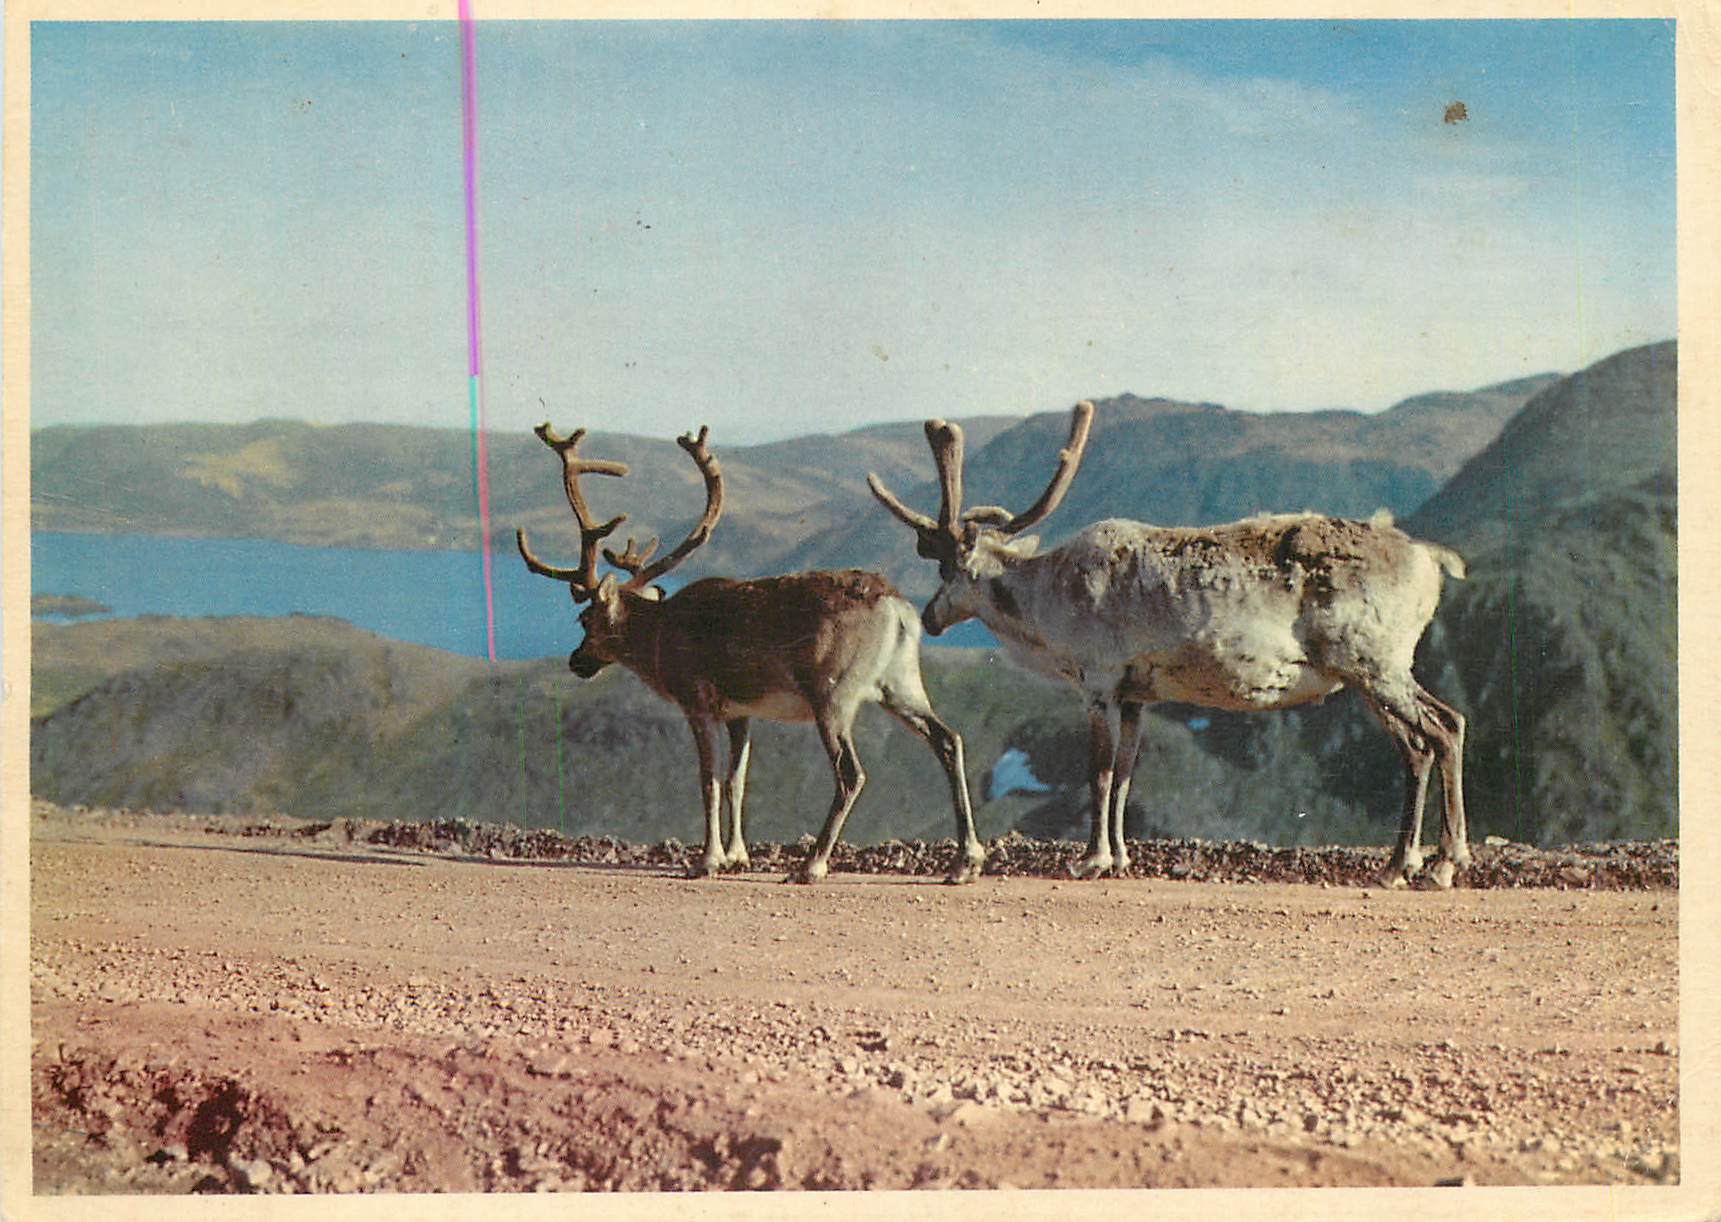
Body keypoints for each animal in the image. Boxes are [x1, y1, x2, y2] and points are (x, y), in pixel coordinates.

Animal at [516, 421, 986, 885]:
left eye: (584, 620)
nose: (576, 661)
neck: (658, 637)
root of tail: (897, 607)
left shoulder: (698, 701)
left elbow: (708, 780)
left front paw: (706, 861)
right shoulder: (740, 712)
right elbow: (736, 780)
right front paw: (737, 856)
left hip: (833, 693)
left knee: (851, 772)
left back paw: (812, 864)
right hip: (899, 683)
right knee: (948, 739)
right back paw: (966, 861)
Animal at [867, 400, 1471, 889]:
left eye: (946, 570)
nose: (929, 617)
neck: (1044, 602)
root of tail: (1431, 559)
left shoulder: (1098, 681)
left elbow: (1099, 772)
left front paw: (1090, 860)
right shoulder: (1138, 694)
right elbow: (1125, 777)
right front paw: (1120, 856)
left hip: (1374, 664)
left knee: (1442, 729)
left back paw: (1443, 863)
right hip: (1371, 673)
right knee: (1424, 742)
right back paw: (1399, 864)